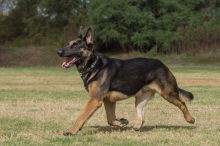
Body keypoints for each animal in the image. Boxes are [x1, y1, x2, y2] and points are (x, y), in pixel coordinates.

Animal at [57, 27, 195, 136]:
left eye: (75, 45)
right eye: (68, 44)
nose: (58, 51)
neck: (93, 65)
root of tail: (163, 65)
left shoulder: (95, 100)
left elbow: (81, 116)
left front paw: (71, 131)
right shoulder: (108, 101)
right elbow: (110, 119)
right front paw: (122, 122)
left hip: (168, 94)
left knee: (182, 103)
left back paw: (190, 119)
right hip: (140, 100)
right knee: (142, 117)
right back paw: (136, 127)